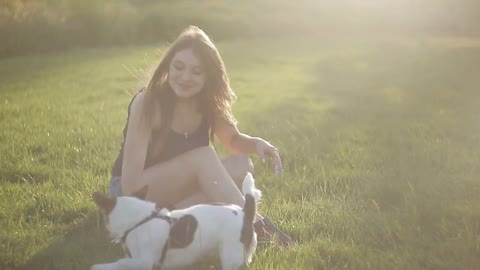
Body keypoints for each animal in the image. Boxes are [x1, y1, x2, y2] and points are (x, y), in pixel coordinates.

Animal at [90, 173, 262, 270]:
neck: (139, 219)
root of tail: (245, 212)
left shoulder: (143, 262)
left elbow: (120, 263)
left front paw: (99, 267)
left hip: (230, 256)